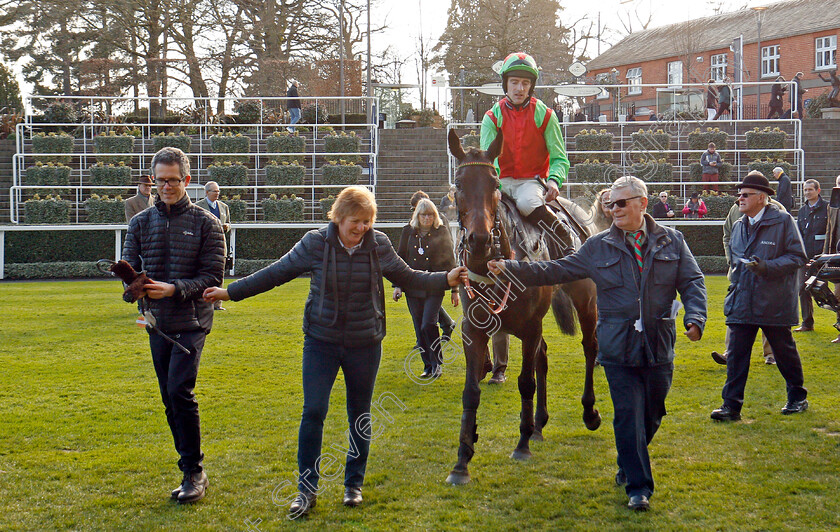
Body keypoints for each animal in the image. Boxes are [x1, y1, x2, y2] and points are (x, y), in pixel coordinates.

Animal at [442, 130, 600, 486]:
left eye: (494, 183)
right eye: (459, 183)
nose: (478, 241)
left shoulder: (529, 327)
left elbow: (526, 382)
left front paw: (522, 446)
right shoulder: (474, 331)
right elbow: (471, 391)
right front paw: (461, 461)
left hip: (585, 300)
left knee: (590, 347)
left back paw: (588, 412)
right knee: (544, 356)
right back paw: (539, 424)